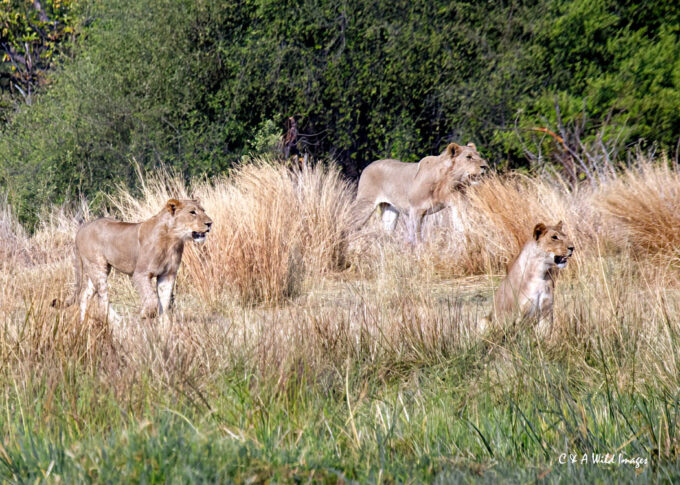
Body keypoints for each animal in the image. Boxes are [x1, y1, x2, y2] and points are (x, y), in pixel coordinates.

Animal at [52, 199, 213, 321]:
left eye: (203, 210)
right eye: (192, 212)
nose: (210, 223)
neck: (173, 239)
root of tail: (82, 227)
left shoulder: (168, 275)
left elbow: (164, 302)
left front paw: (164, 325)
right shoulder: (140, 274)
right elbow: (152, 300)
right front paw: (144, 314)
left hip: (97, 268)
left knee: (85, 295)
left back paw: (82, 323)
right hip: (98, 267)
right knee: (102, 299)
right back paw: (117, 321)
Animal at [355, 142, 488, 243]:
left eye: (478, 155)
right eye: (468, 157)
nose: (485, 166)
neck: (448, 181)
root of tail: (368, 166)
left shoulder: (457, 204)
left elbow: (463, 226)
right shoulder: (415, 210)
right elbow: (416, 235)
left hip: (390, 211)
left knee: (386, 232)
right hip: (365, 205)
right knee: (354, 225)